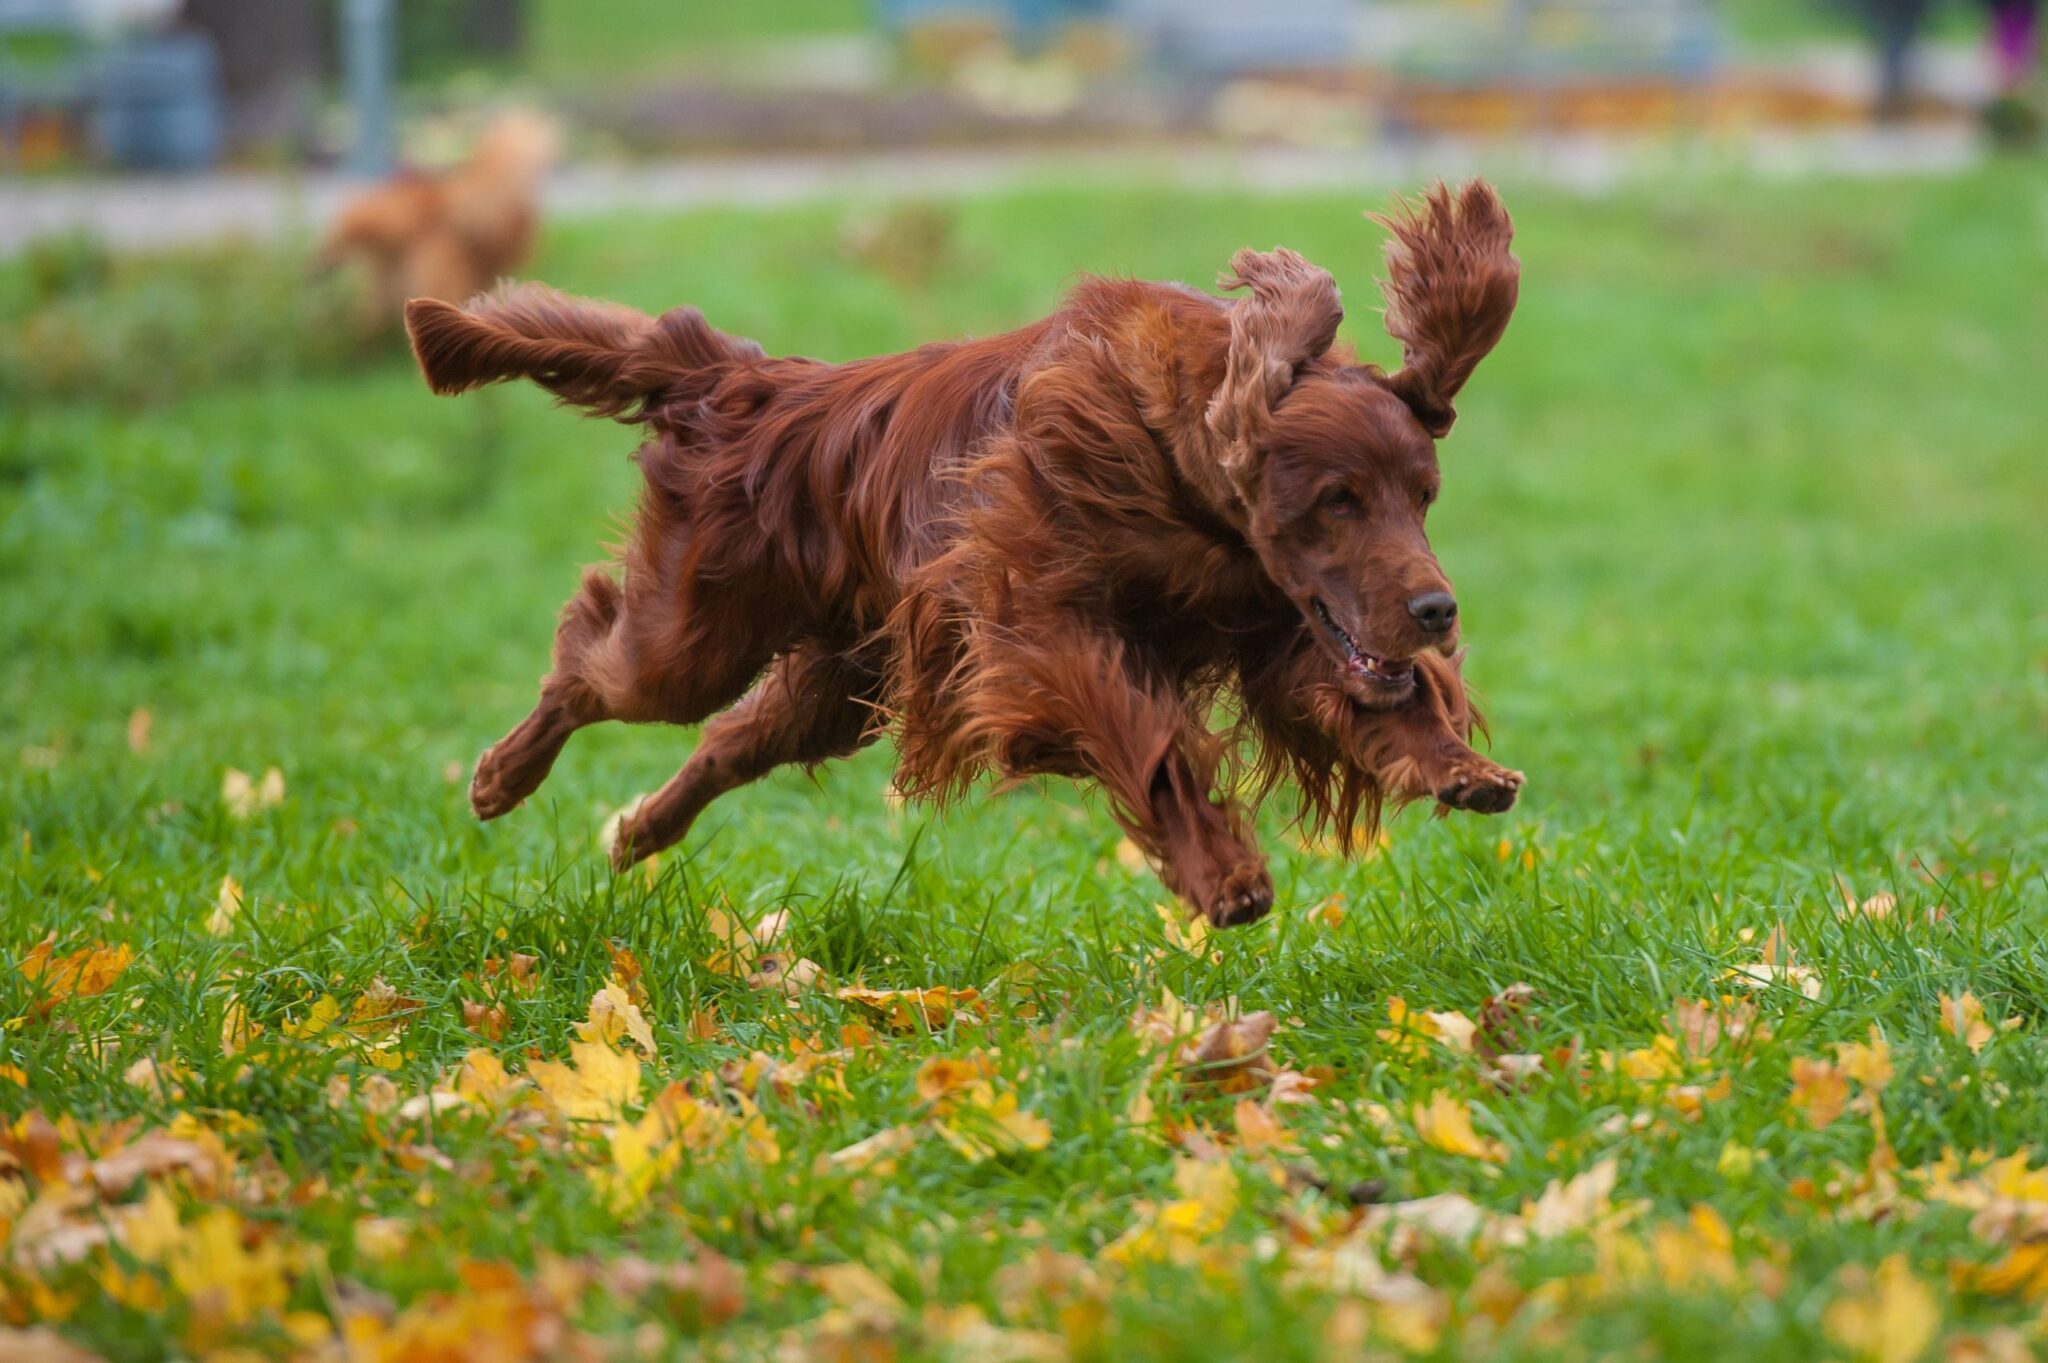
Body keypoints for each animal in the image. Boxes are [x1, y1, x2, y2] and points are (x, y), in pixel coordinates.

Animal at [403, 178, 1523, 925]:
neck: (1178, 468)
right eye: (1337, 501)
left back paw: (635, 830)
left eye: (1421, 497)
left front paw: (1458, 763)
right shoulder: (1040, 631)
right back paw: (498, 777)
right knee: (588, 660)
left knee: (724, 741)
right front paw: (1221, 876)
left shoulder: (1280, 623)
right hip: (695, 634)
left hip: (837, 676)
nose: (1438, 611)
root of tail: (745, 381)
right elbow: (1148, 744)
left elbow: (1374, 700)